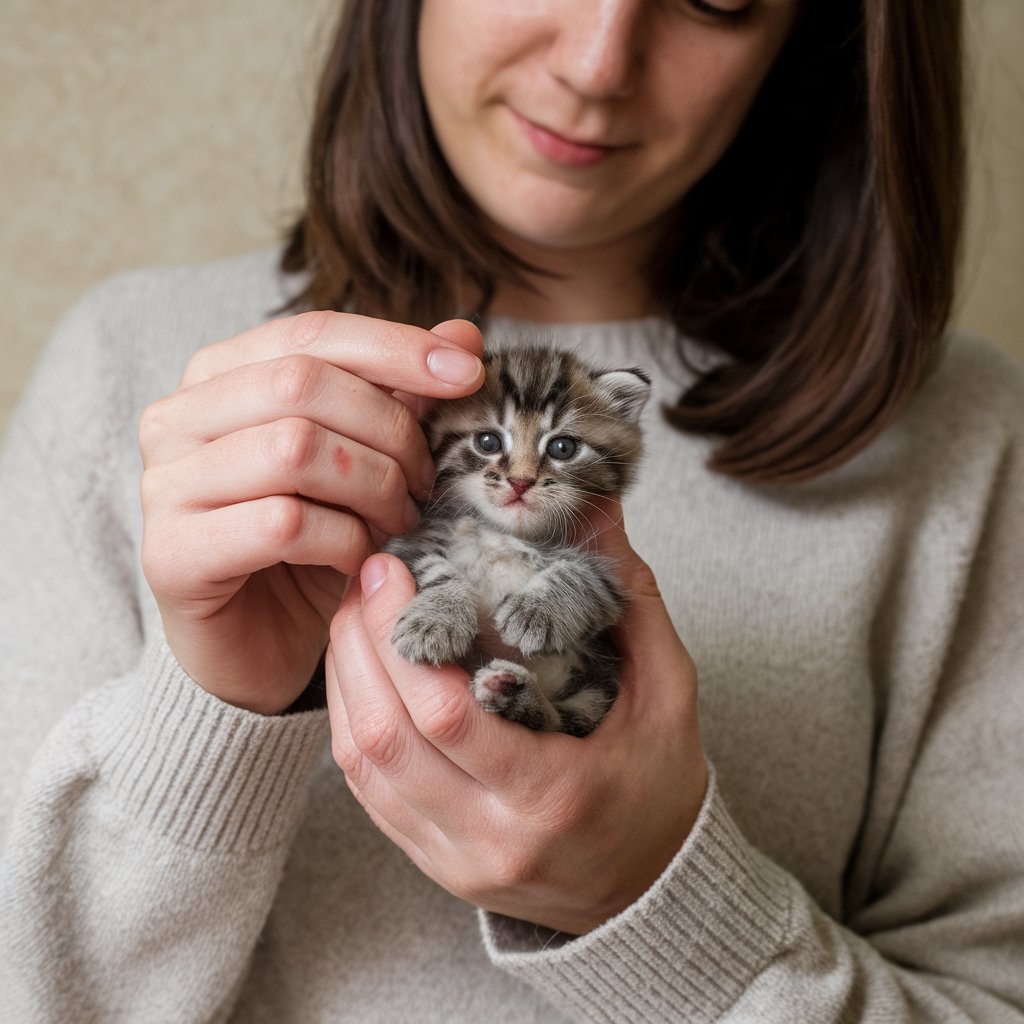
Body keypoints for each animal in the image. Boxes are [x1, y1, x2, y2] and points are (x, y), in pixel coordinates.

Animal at [387, 344, 651, 737]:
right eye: (488, 442)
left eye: (562, 447)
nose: (521, 482)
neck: (506, 534)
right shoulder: (409, 543)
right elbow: (436, 569)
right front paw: (435, 621)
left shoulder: (613, 579)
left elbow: (583, 578)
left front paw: (536, 611)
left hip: (594, 688)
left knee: (562, 721)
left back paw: (514, 692)